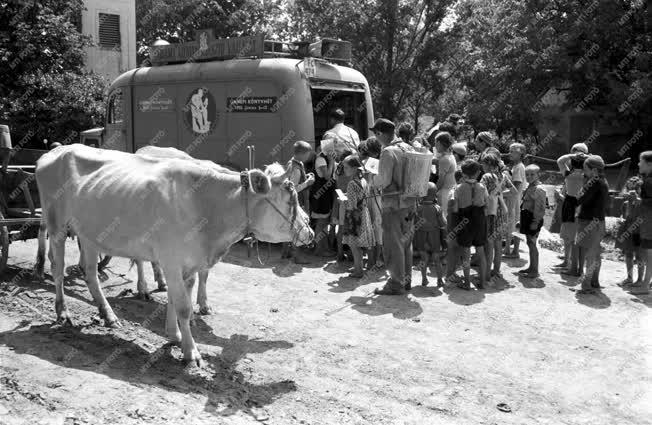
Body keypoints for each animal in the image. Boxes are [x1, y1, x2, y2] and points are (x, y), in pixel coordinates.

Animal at [33, 144, 314, 362]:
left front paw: (174, 335)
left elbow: (176, 299)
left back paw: (109, 315)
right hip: (56, 225)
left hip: (89, 233)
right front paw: (191, 352)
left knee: (90, 272)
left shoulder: (188, 263)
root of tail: (57, 150)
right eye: (290, 199)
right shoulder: (171, 260)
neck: (204, 205)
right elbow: (184, 307)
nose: (310, 230)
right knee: (57, 267)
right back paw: (62, 311)